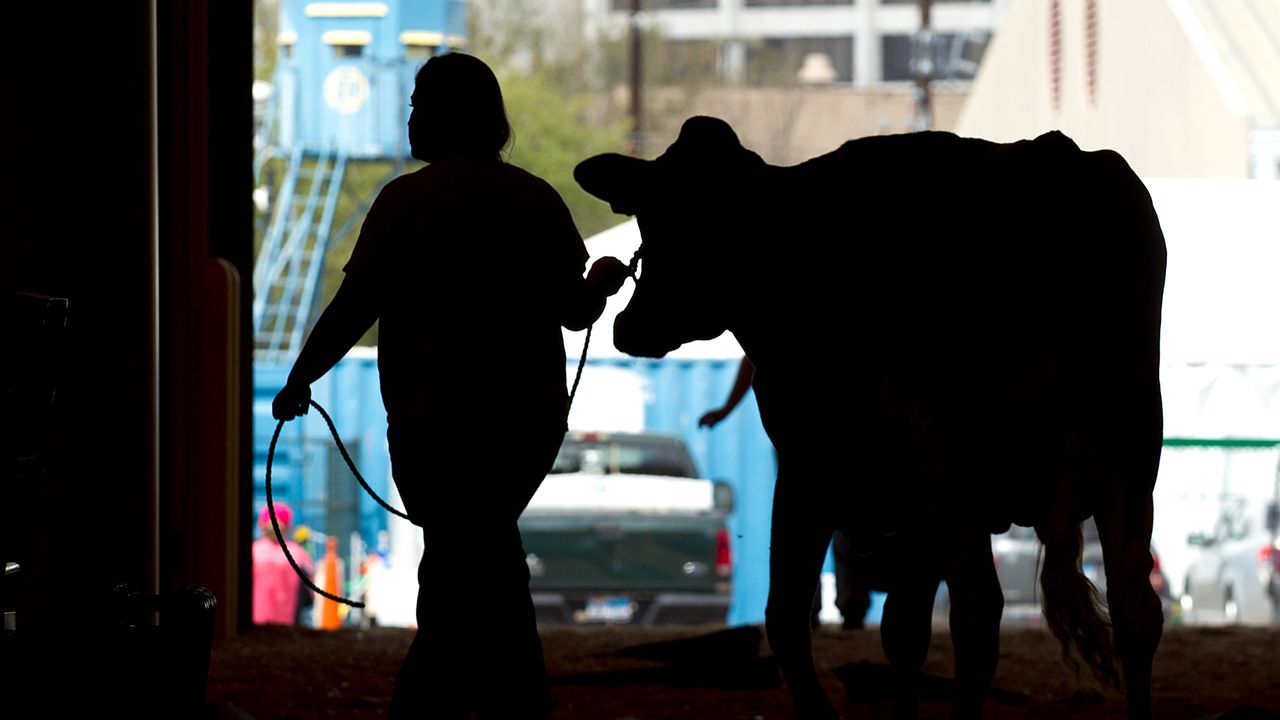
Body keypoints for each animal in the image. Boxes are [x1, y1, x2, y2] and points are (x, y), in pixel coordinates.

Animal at [581, 117, 1172, 717]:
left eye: (673, 221)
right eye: (646, 214)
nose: (629, 325)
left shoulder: (810, 467)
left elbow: (787, 616)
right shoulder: (915, 507)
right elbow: (903, 630)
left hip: (954, 455)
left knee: (979, 609)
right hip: (1130, 449)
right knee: (1135, 610)